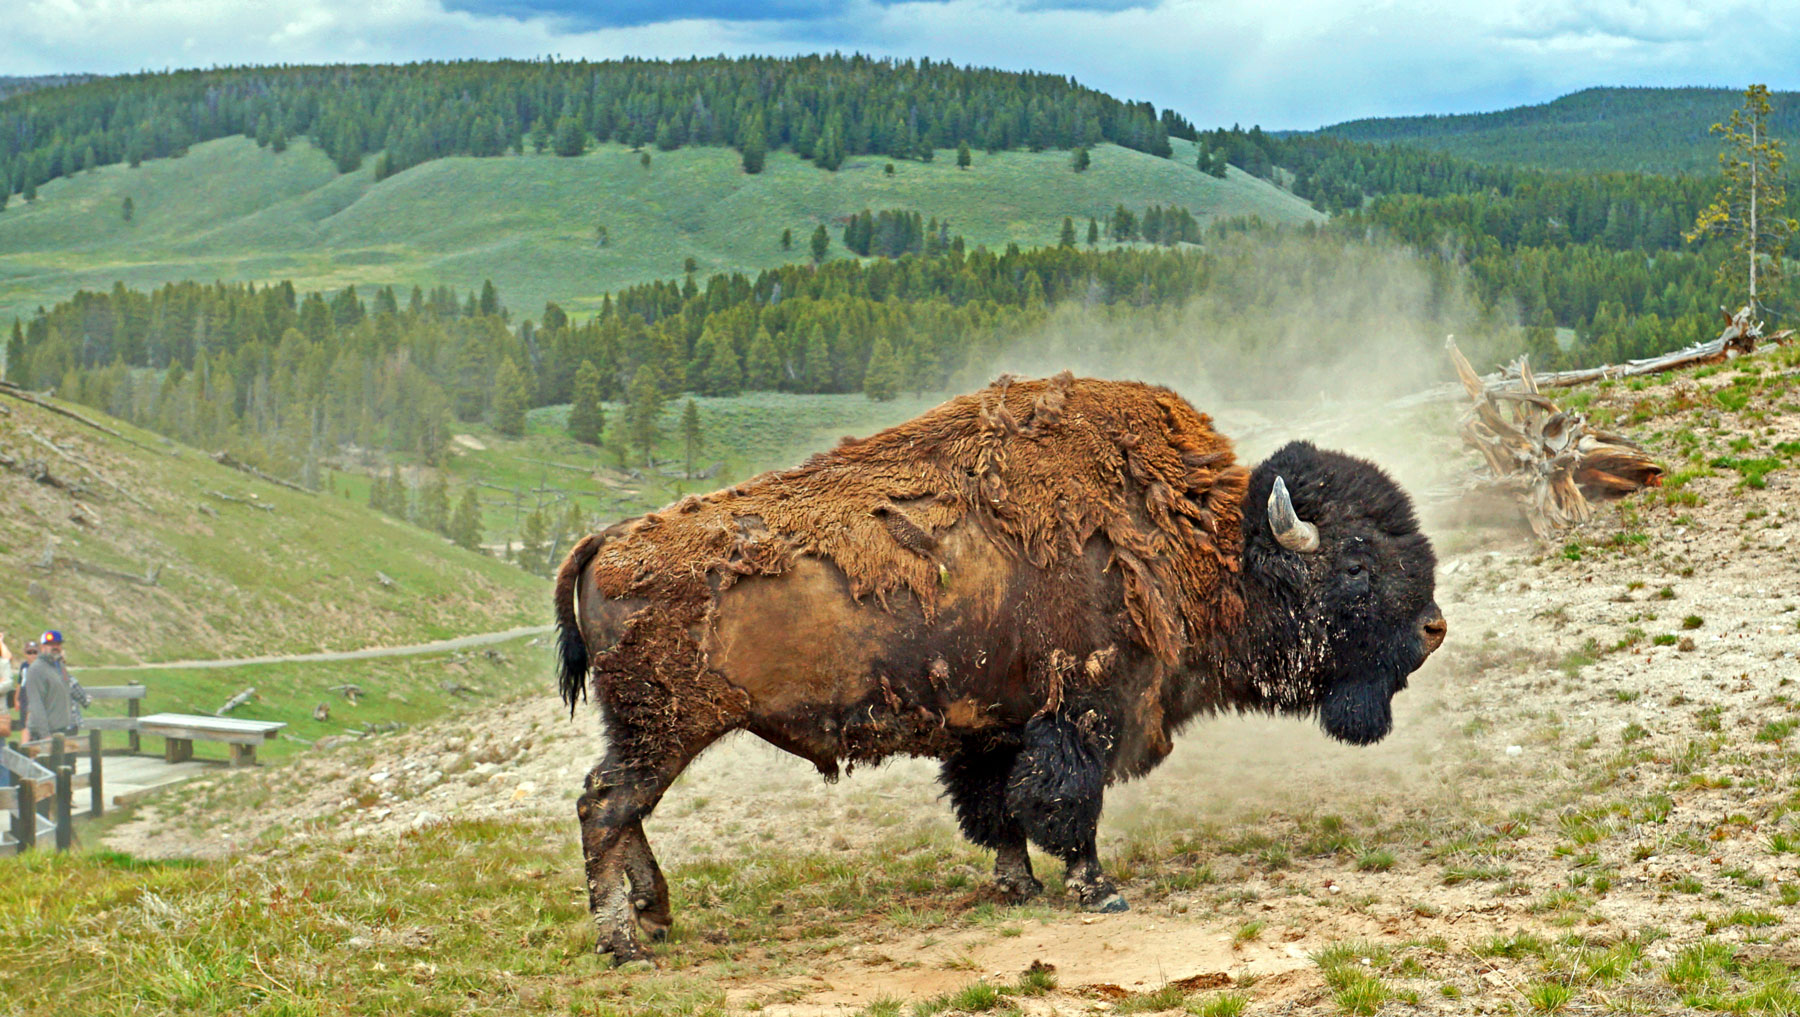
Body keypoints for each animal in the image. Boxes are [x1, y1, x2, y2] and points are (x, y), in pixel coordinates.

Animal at [554, 372, 1440, 957]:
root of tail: (607, 539)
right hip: (666, 727)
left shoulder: (994, 728)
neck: (1197, 542)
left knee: (620, 807)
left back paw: (656, 916)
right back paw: (626, 939)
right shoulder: (1084, 713)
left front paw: (1019, 886)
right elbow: (1069, 805)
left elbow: (998, 809)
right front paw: (1098, 890)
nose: (1433, 628)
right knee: (605, 804)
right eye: (1357, 563)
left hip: (646, 730)